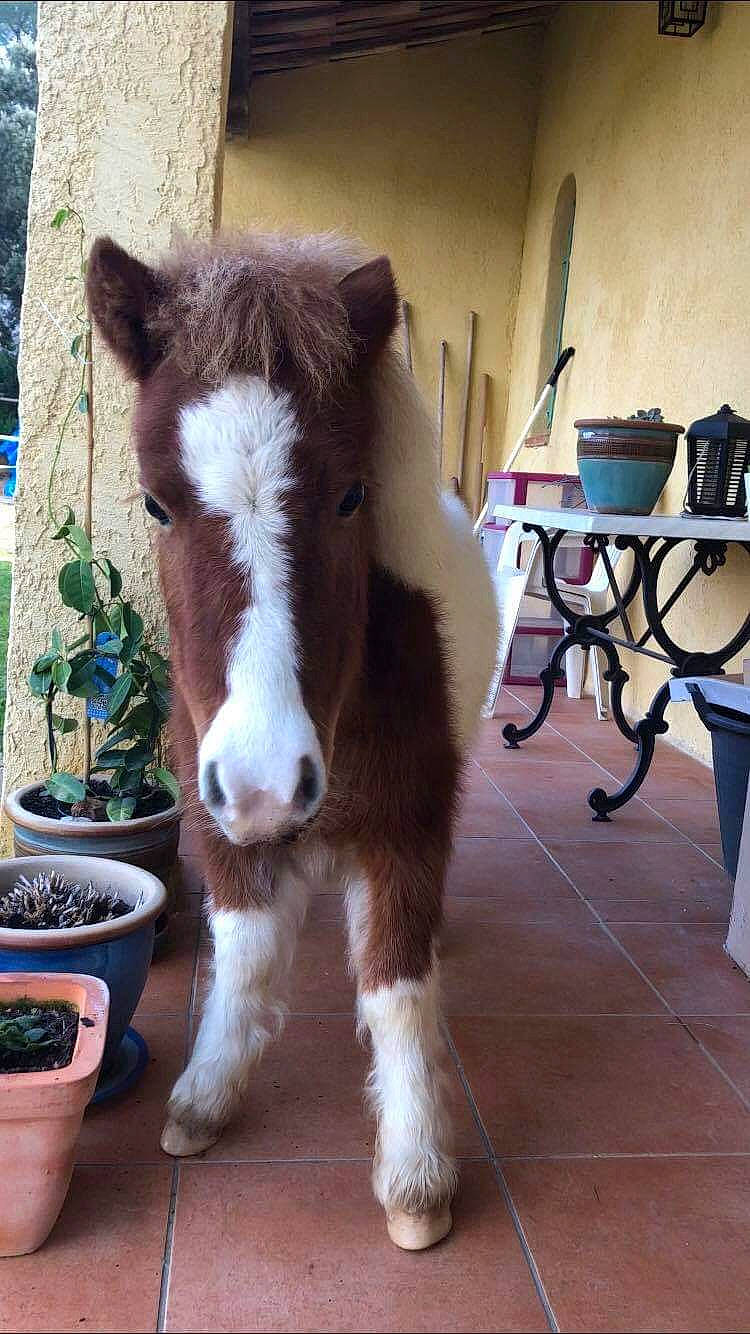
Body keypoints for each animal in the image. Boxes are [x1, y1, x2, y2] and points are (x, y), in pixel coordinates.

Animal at [87, 232, 498, 1250]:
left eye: (352, 496)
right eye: (154, 506)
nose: (269, 785)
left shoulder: (408, 824)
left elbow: (397, 984)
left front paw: (417, 1178)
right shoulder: (215, 813)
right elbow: (244, 953)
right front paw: (204, 1098)